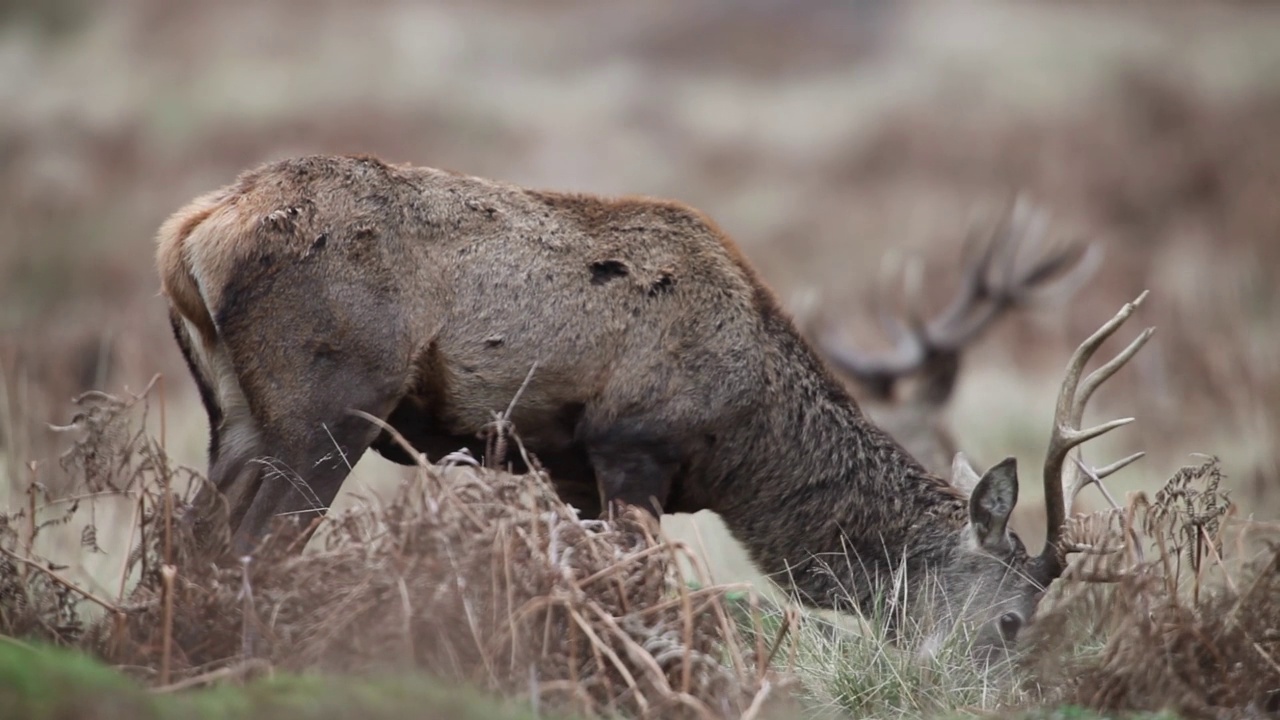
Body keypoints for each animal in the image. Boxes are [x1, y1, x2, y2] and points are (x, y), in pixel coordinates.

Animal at [157, 154, 1152, 661]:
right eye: (1013, 622)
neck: (745, 440)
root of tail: (191, 230)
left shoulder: (569, 475)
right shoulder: (630, 446)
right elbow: (641, 597)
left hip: (235, 416)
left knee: (186, 541)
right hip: (329, 410)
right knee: (248, 549)